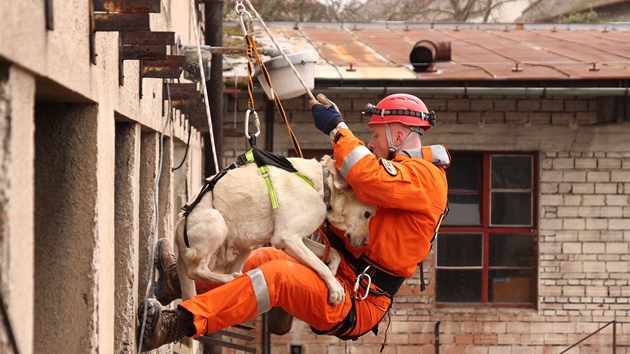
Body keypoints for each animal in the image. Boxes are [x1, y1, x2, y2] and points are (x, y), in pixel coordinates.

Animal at [174, 155, 376, 304]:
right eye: (367, 214)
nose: (366, 242)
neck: (322, 187)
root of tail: (177, 232)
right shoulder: (286, 238)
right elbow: (319, 264)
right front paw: (335, 288)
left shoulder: (297, 238)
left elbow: (333, 251)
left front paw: (333, 267)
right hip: (216, 221)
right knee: (196, 271)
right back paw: (229, 278)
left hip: (245, 245)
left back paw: (236, 277)